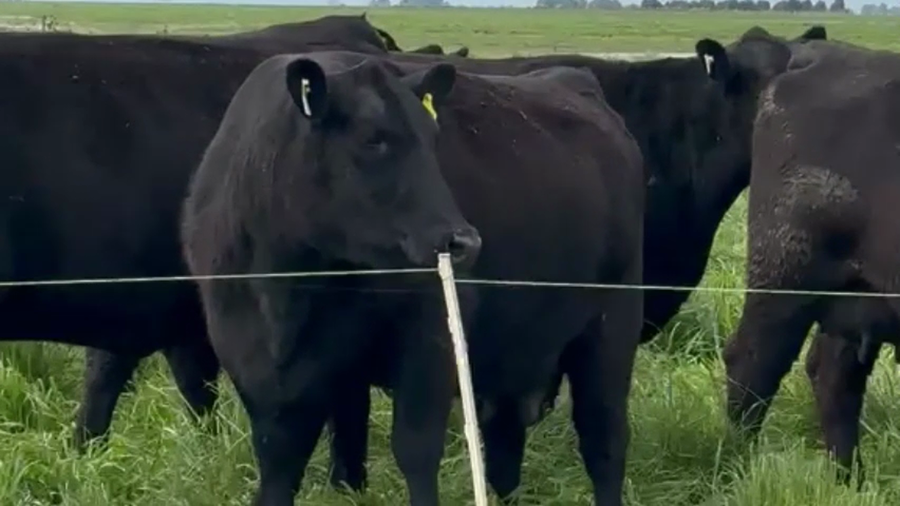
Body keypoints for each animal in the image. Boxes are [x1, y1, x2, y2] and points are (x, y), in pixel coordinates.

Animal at [181, 48, 645, 506]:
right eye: (373, 139)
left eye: (433, 138)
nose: (463, 240)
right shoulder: (260, 374)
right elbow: (278, 468)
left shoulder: (430, 342)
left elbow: (416, 451)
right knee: (504, 444)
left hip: (612, 325)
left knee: (603, 437)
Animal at [720, 37, 900, 483]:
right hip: (783, 280)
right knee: (752, 363)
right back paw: (737, 464)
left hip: (853, 300)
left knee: (833, 376)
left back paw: (849, 480)